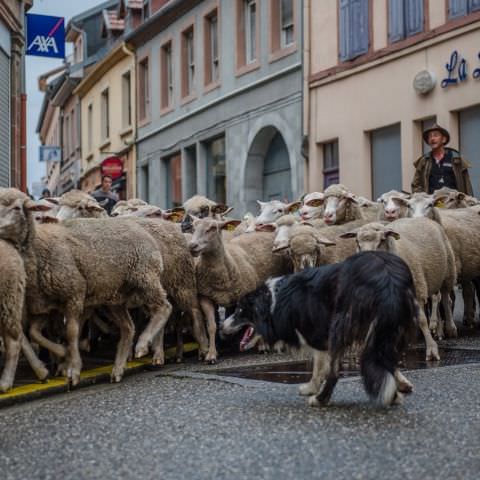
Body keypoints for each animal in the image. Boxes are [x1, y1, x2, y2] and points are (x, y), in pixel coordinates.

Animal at [188, 217, 292, 360]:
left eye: (213, 228)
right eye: (193, 227)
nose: (192, 246)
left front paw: (262, 346)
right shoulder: (205, 297)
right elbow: (212, 326)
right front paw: (211, 354)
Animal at [340, 218, 456, 360]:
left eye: (382, 240)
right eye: (357, 242)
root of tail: (422, 218)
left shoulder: (417, 292)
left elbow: (422, 320)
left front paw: (432, 350)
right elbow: (374, 324)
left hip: (448, 272)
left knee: (445, 299)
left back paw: (450, 328)